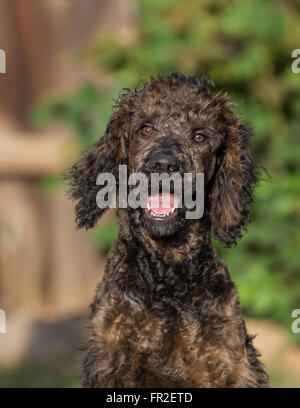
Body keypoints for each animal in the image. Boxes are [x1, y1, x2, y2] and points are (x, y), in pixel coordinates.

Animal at [67, 73, 268, 388]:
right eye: (145, 129)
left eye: (199, 136)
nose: (162, 163)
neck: (168, 276)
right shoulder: (112, 362)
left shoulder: (228, 363)